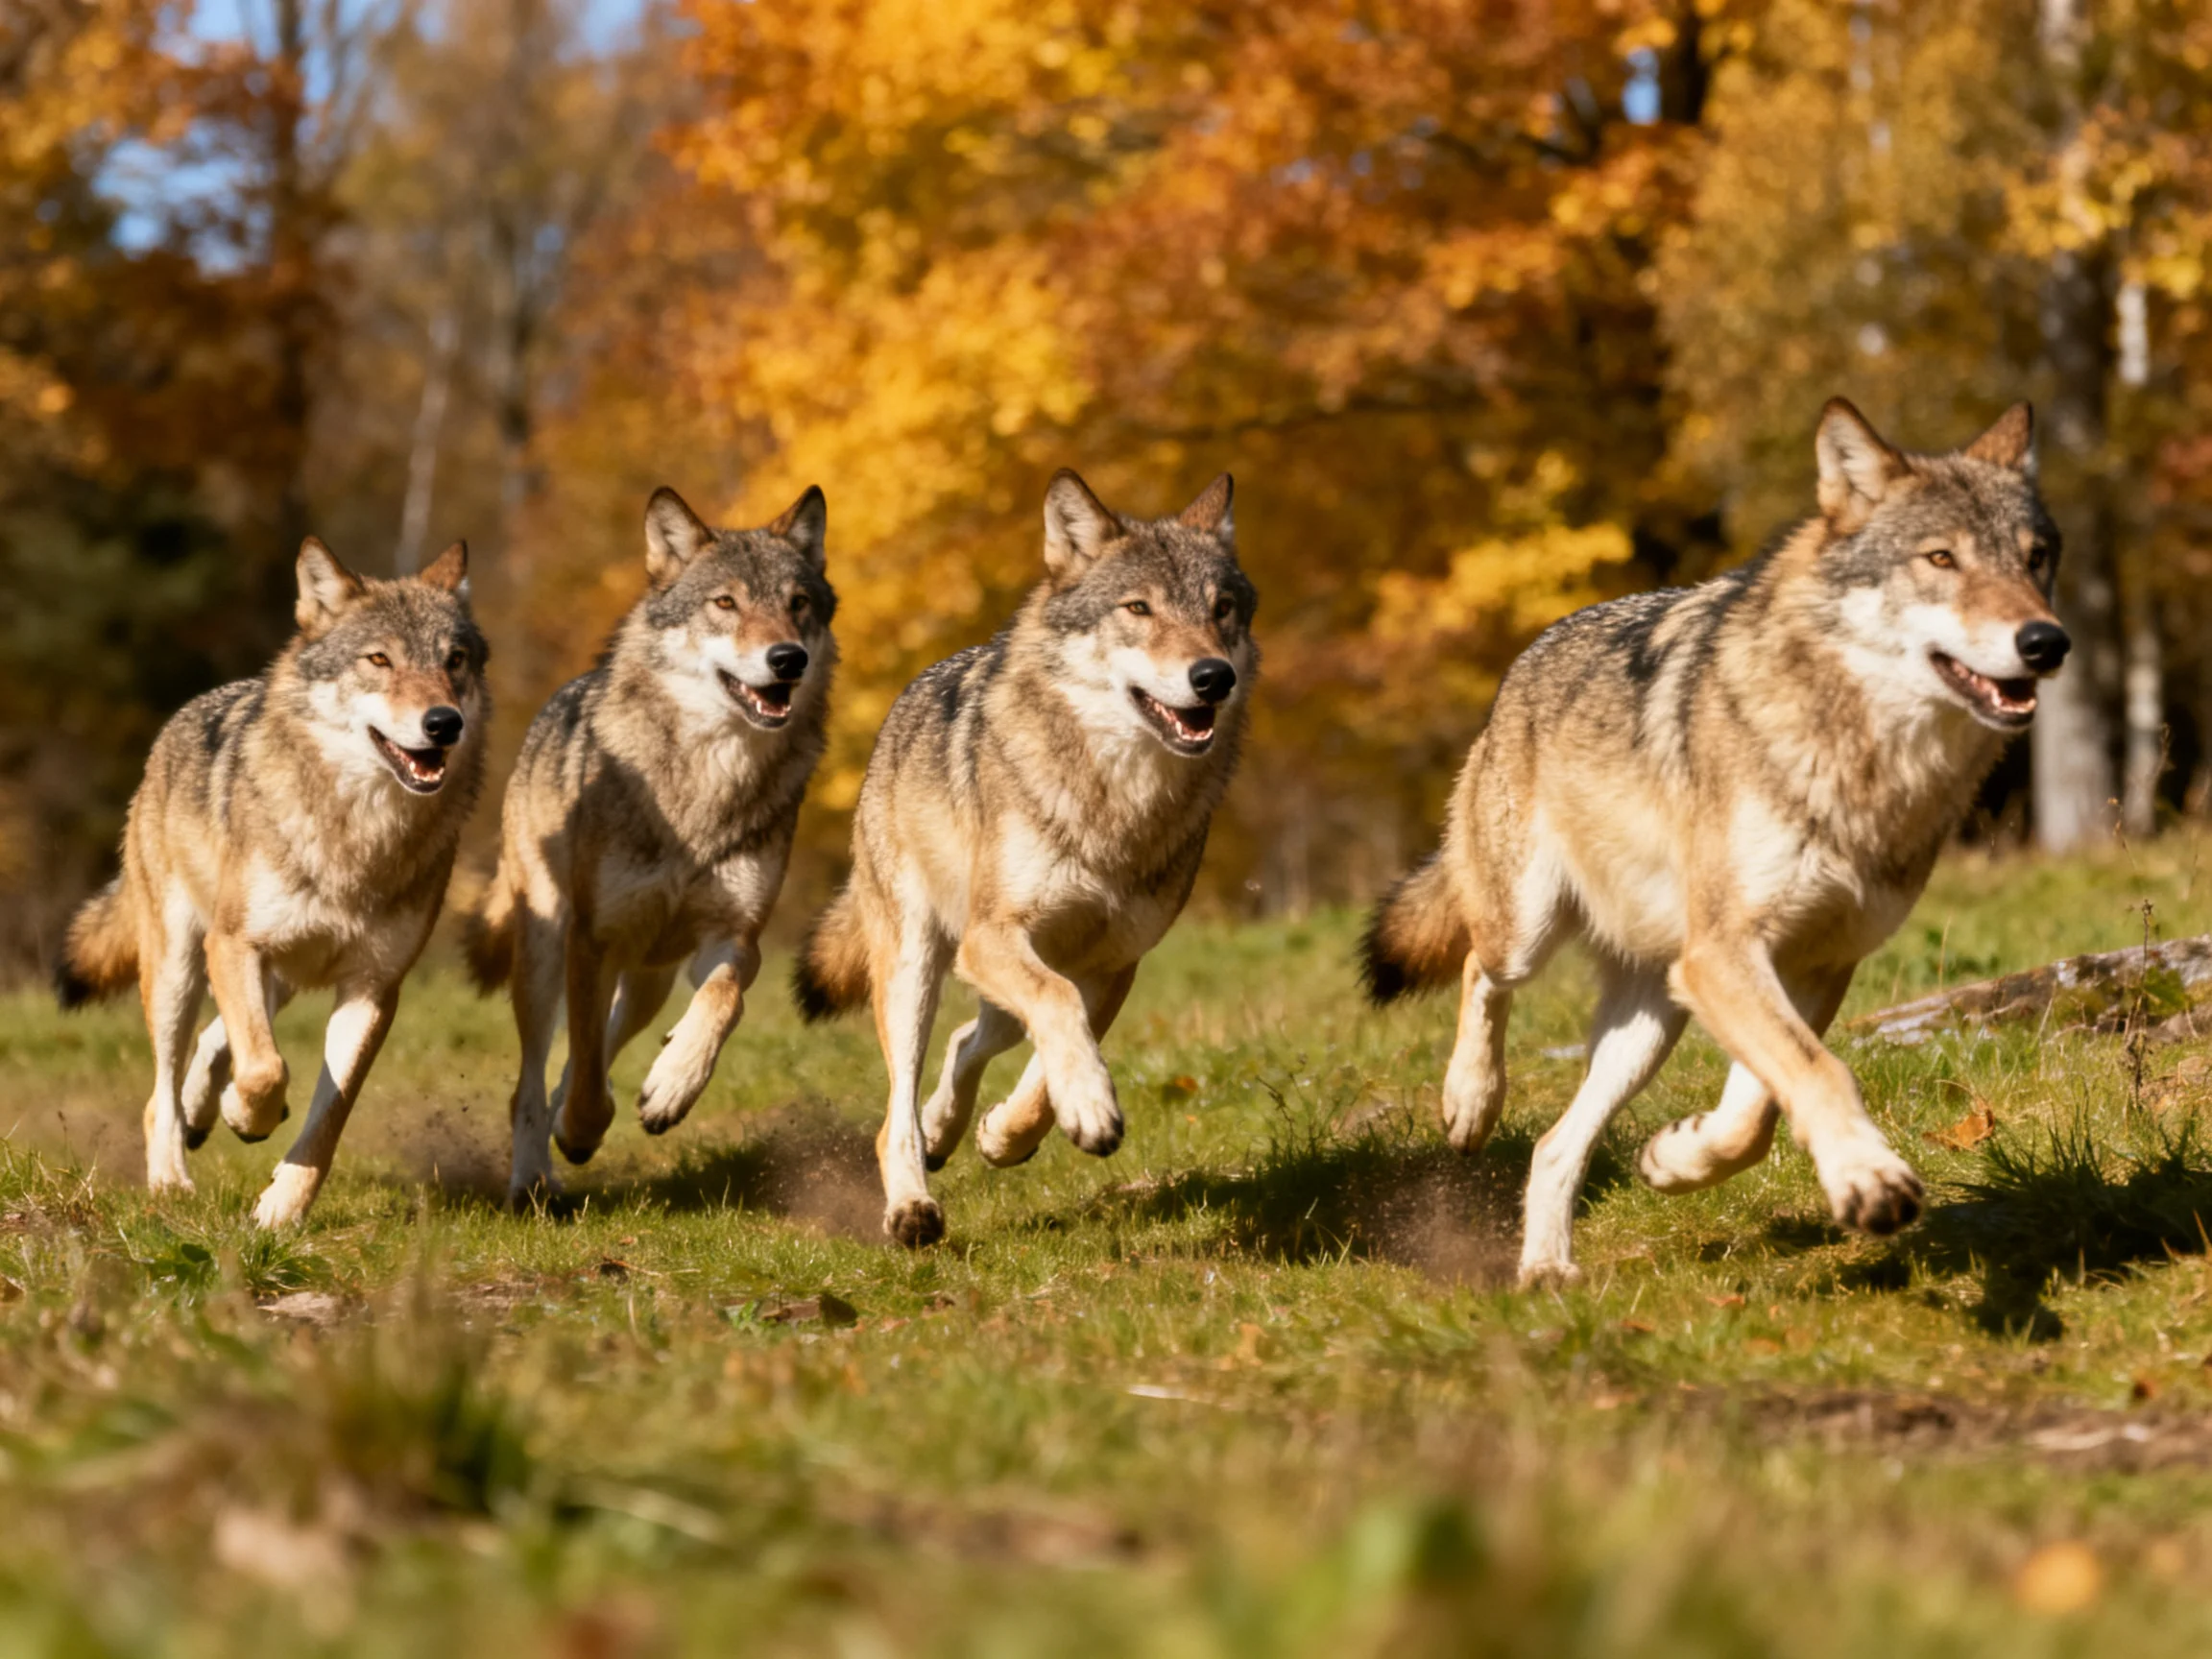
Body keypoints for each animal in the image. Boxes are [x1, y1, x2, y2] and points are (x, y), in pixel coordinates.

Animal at [56, 538, 487, 1227]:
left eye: (454, 661)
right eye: (379, 659)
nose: (444, 723)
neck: (356, 836)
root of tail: (185, 714)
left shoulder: (373, 987)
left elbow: (327, 1116)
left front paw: (281, 1209)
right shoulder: (236, 945)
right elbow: (263, 1067)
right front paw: (244, 1113)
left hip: (272, 971)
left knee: (210, 1046)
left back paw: (204, 1111)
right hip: (182, 965)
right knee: (161, 1093)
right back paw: (172, 1179)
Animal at [464, 486, 835, 1204]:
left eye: (798, 604)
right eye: (726, 603)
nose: (788, 658)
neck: (705, 782)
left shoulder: (736, 937)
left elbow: (722, 1000)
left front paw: (673, 1085)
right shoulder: (592, 941)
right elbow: (582, 1067)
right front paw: (581, 1128)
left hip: (650, 981)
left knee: (605, 1040)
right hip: (546, 957)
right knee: (532, 1082)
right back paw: (533, 1178)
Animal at [793, 469, 1255, 1247]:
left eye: (1222, 609)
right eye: (1138, 608)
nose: (1212, 676)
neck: (1115, 801)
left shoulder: (1113, 965)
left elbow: (1053, 1056)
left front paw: (1016, 1132)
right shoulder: (995, 938)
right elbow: (1058, 1009)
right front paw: (1088, 1104)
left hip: (991, 976)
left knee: (966, 1041)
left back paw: (950, 1130)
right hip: (920, 963)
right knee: (896, 1112)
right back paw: (912, 1204)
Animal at [1363, 400, 2068, 1287]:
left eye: (2036, 559)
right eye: (1941, 558)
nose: (2047, 642)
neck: (1866, 762)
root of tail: (1522, 662)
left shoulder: (1812, 962)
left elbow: (1760, 1109)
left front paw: (1679, 1159)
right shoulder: (1725, 954)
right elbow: (1819, 1070)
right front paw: (1869, 1179)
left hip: (1652, 1015)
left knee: (1557, 1142)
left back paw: (1547, 1270)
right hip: (1530, 930)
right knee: (1477, 973)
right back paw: (1470, 1104)